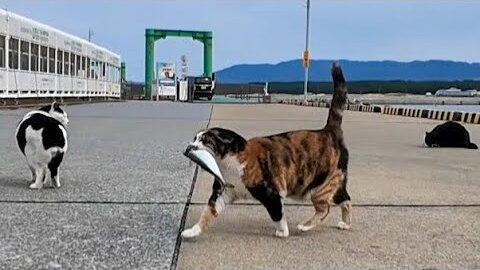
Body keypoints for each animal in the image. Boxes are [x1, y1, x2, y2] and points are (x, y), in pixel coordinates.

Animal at [182, 63, 350, 238]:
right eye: (194, 138)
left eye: (204, 140)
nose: (189, 147)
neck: (226, 165)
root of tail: (329, 130)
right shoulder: (223, 192)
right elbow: (207, 212)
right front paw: (192, 231)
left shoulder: (271, 193)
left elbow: (277, 214)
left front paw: (283, 231)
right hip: (329, 185)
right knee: (346, 200)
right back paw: (345, 223)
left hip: (320, 186)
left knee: (326, 208)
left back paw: (305, 226)